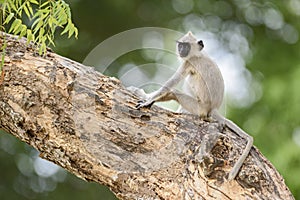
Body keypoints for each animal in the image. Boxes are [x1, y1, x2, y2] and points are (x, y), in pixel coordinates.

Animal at [136, 30, 253, 180]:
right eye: (180, 45)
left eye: (185, 46)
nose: (181, 50)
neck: (199, 54)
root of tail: (213, 109)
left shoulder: (189, 62)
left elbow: (170, 84)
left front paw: (147, 100)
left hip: (198, 107)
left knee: (176, 90)